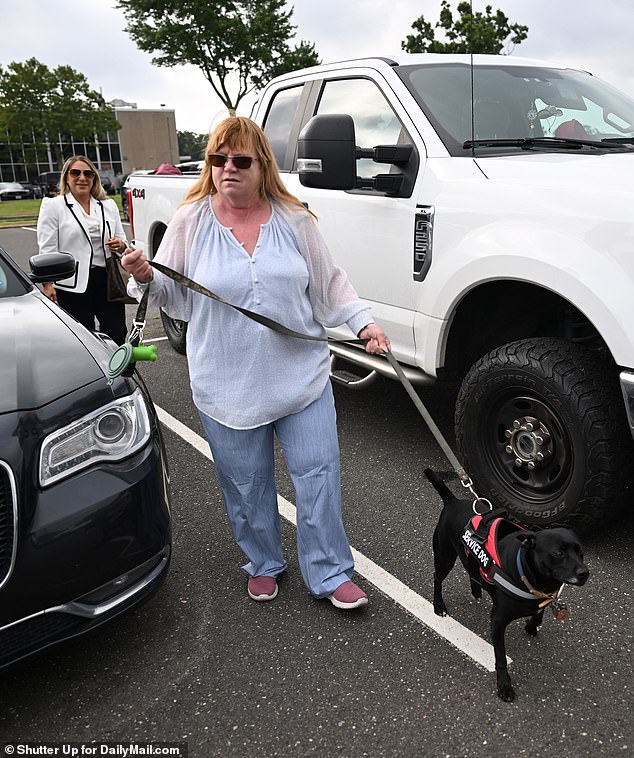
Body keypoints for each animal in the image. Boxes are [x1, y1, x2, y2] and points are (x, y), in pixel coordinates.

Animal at [424, 470, 588, 708]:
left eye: (581, 552)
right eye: (558, 553)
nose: (585, 573)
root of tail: (452, 501)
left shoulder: (542, 597)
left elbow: (539, 612)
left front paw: (532, 625)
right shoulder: (498, 621)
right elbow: (501, 658)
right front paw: (504, 686)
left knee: (472, 571)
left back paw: (477, 590)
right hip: (445, 556)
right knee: (437, 578)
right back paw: (439, 605)